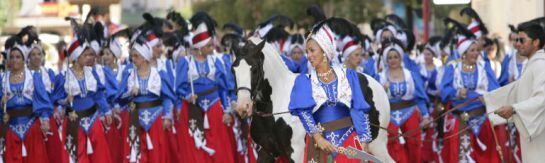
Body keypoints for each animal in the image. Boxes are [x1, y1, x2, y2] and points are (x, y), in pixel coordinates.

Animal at [232, 37, 394, 162]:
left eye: (254, 69)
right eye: (234, 69)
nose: (243, 106)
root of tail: (377, 85)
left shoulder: (296, 153)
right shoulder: (266, 152)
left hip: (376, 145)